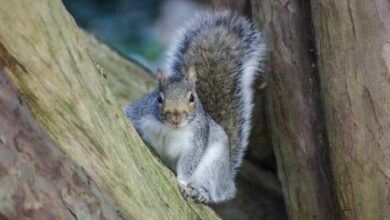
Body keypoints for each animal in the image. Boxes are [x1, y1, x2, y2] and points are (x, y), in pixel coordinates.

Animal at [123, 9, 266, 203]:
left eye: (192, 97)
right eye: (159, 98)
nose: (176, 117)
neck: (170, 129)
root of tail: (227, 180)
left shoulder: (196, 140)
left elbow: (188, 163)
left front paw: (182, 182)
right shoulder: (141, 112)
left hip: (213, 167)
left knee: (212, 189)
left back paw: (202, 192)